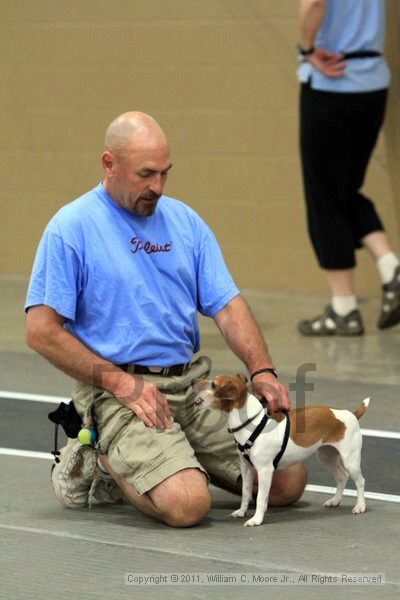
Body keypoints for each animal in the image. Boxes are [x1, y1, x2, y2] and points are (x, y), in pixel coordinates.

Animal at [195, 372, 370, 528]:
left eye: (213, 384)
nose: (194, 382)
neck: (252, 423)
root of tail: (352, 414)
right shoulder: (246, 468)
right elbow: (246, 492)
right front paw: (242, 511)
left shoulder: (265, 471)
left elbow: (261, 499)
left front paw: (256, 520)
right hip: (327, 457)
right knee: (342, 476)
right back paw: (335, 500)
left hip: (351, 459)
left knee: (360, 481)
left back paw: (360, 506)